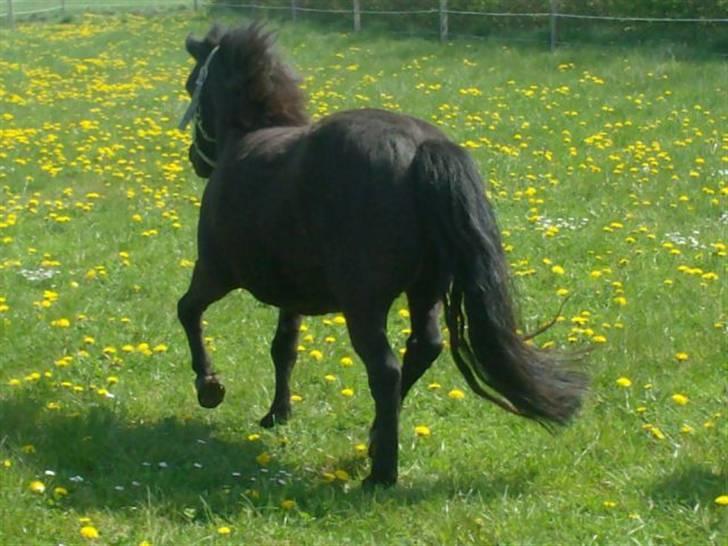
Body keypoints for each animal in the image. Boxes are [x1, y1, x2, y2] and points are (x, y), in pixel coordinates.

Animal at [179, 24, 588, 484]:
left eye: (193, 85)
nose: (196, 160)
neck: (245, 139)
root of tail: (420, 149)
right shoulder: (292, 297)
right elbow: (284, 347)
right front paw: (277, 414)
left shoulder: (214, 272)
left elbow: (188, 311)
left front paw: (209, 386)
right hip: (425, 289)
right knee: (424, 348)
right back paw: (375, 440)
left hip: (364, 303)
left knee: (386, 368)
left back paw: (381, 473)